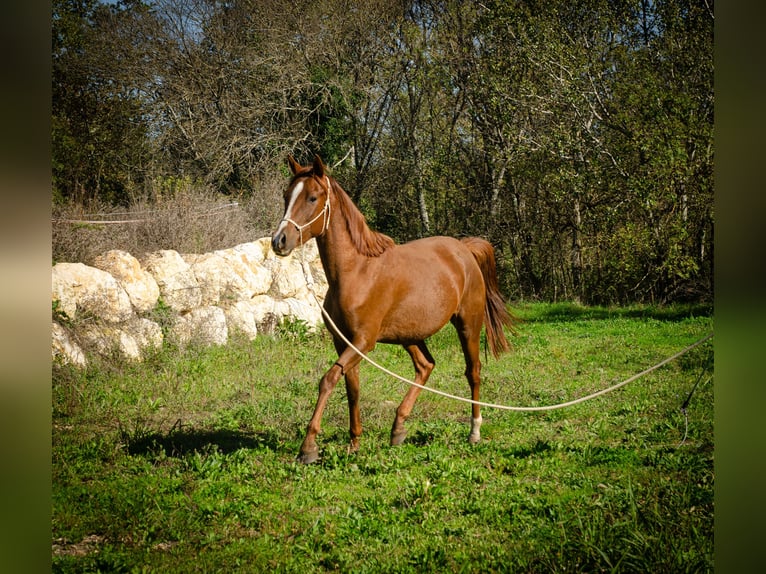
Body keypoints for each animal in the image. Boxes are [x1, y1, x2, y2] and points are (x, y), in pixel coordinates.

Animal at [270, 155, 516, 466]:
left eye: (312, 197)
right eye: (286, 195)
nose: (279, 241)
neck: (356, 272)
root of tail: (464, 249)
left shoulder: (364, 342)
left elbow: (328, 380)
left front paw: (308, 447)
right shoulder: (345, 343)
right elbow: (351, 388)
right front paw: (354, 443)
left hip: (468, 325)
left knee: (473, 372)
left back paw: (474, 432)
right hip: (409, 335)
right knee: (425, 366)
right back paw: (398, 428)